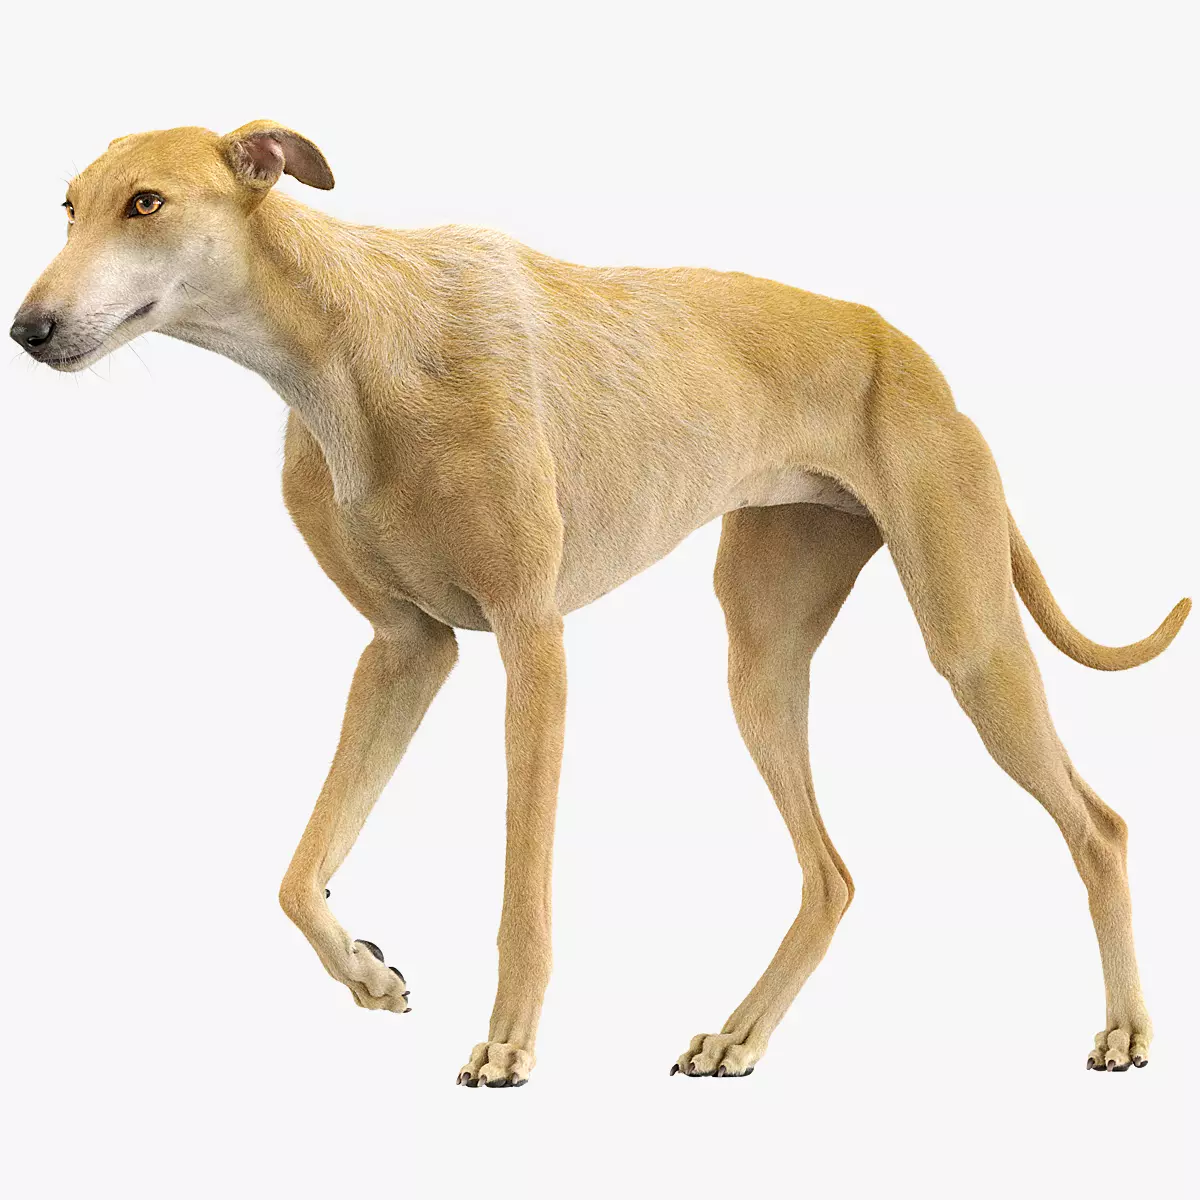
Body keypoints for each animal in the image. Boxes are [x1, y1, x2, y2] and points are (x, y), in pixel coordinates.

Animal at [11, 121, 1189, 1086]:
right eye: (68, 203)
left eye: (147, 203)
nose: (29, 328)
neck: (351, 343)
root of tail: (906, 351)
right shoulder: (408, 649)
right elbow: (300, 875)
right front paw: (369, 971)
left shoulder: (532, 641)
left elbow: (521, 890)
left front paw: (508, 1044)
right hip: (761, 663)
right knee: (831, 874)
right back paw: (739, 1036)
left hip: (971, 638)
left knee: (1100, 826)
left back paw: (1127, 1029)